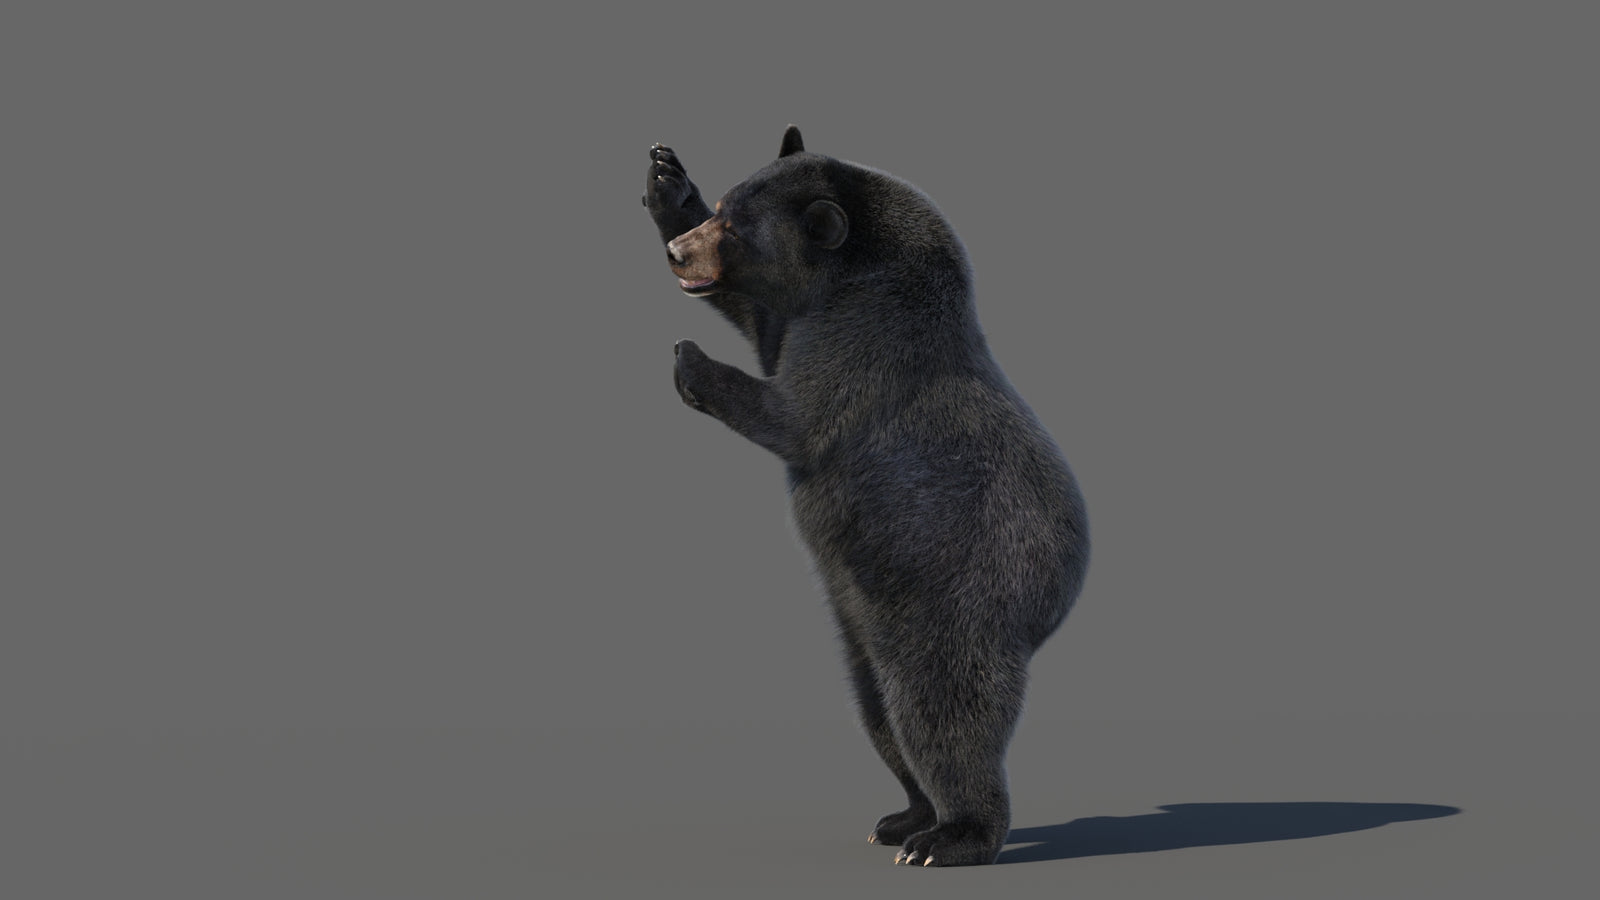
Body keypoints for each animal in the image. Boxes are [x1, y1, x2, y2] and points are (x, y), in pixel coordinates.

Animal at [641, 126, 1089, 867]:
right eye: (723, 207)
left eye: (735, 228)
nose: (679, 253)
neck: (855, 277)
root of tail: (1057, 602)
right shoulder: (808, 314)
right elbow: (762, 322)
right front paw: (665, 182)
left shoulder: (866, 343)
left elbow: (795, 414)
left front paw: (690, 359)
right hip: (865, 624)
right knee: (878, 713)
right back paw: (903, 818)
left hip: (958, 604)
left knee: (941, 718)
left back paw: (953, 836)